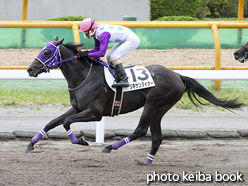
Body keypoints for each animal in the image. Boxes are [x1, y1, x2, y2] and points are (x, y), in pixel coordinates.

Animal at [26, 37, 242, 164]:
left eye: (46, 52)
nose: (29, 69)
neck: (83, 77)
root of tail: (177, 75)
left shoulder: (95, 113)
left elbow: (66, 122)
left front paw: (80, 141)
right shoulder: (77, 108)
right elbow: (53, 122)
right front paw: (31, 144)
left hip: (154, 104)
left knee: (140, 130)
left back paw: (109, 148)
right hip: (159, 109)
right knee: (157, 137)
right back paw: (147, 161)